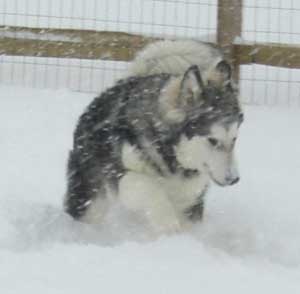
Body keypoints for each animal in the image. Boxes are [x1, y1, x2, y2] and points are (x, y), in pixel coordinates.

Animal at [63, 60, 244, 234]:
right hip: (91, 198)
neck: (170, 155)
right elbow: (151, 188)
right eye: (212, 140)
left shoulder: (191, 196)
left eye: (234, 139)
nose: (234, 179)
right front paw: (169, 226)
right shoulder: (120, 175)